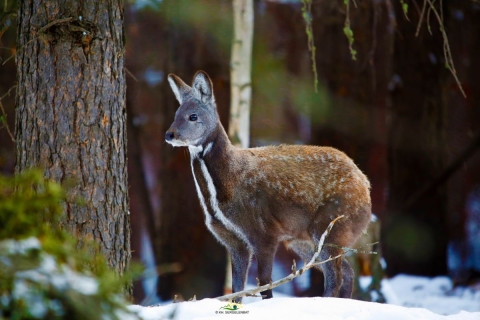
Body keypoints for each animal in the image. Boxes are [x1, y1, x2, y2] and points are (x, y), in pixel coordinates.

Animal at [165, 70, 372, 300]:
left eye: (193, 116)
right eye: (176, 114)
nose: (170, 134)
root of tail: (364, 183)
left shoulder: (264, 231)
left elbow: (265, 284)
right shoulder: (233, 241)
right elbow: (237, 288)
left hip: (332, 223)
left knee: (335, 275)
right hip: (303, 239)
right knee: (347, 271)